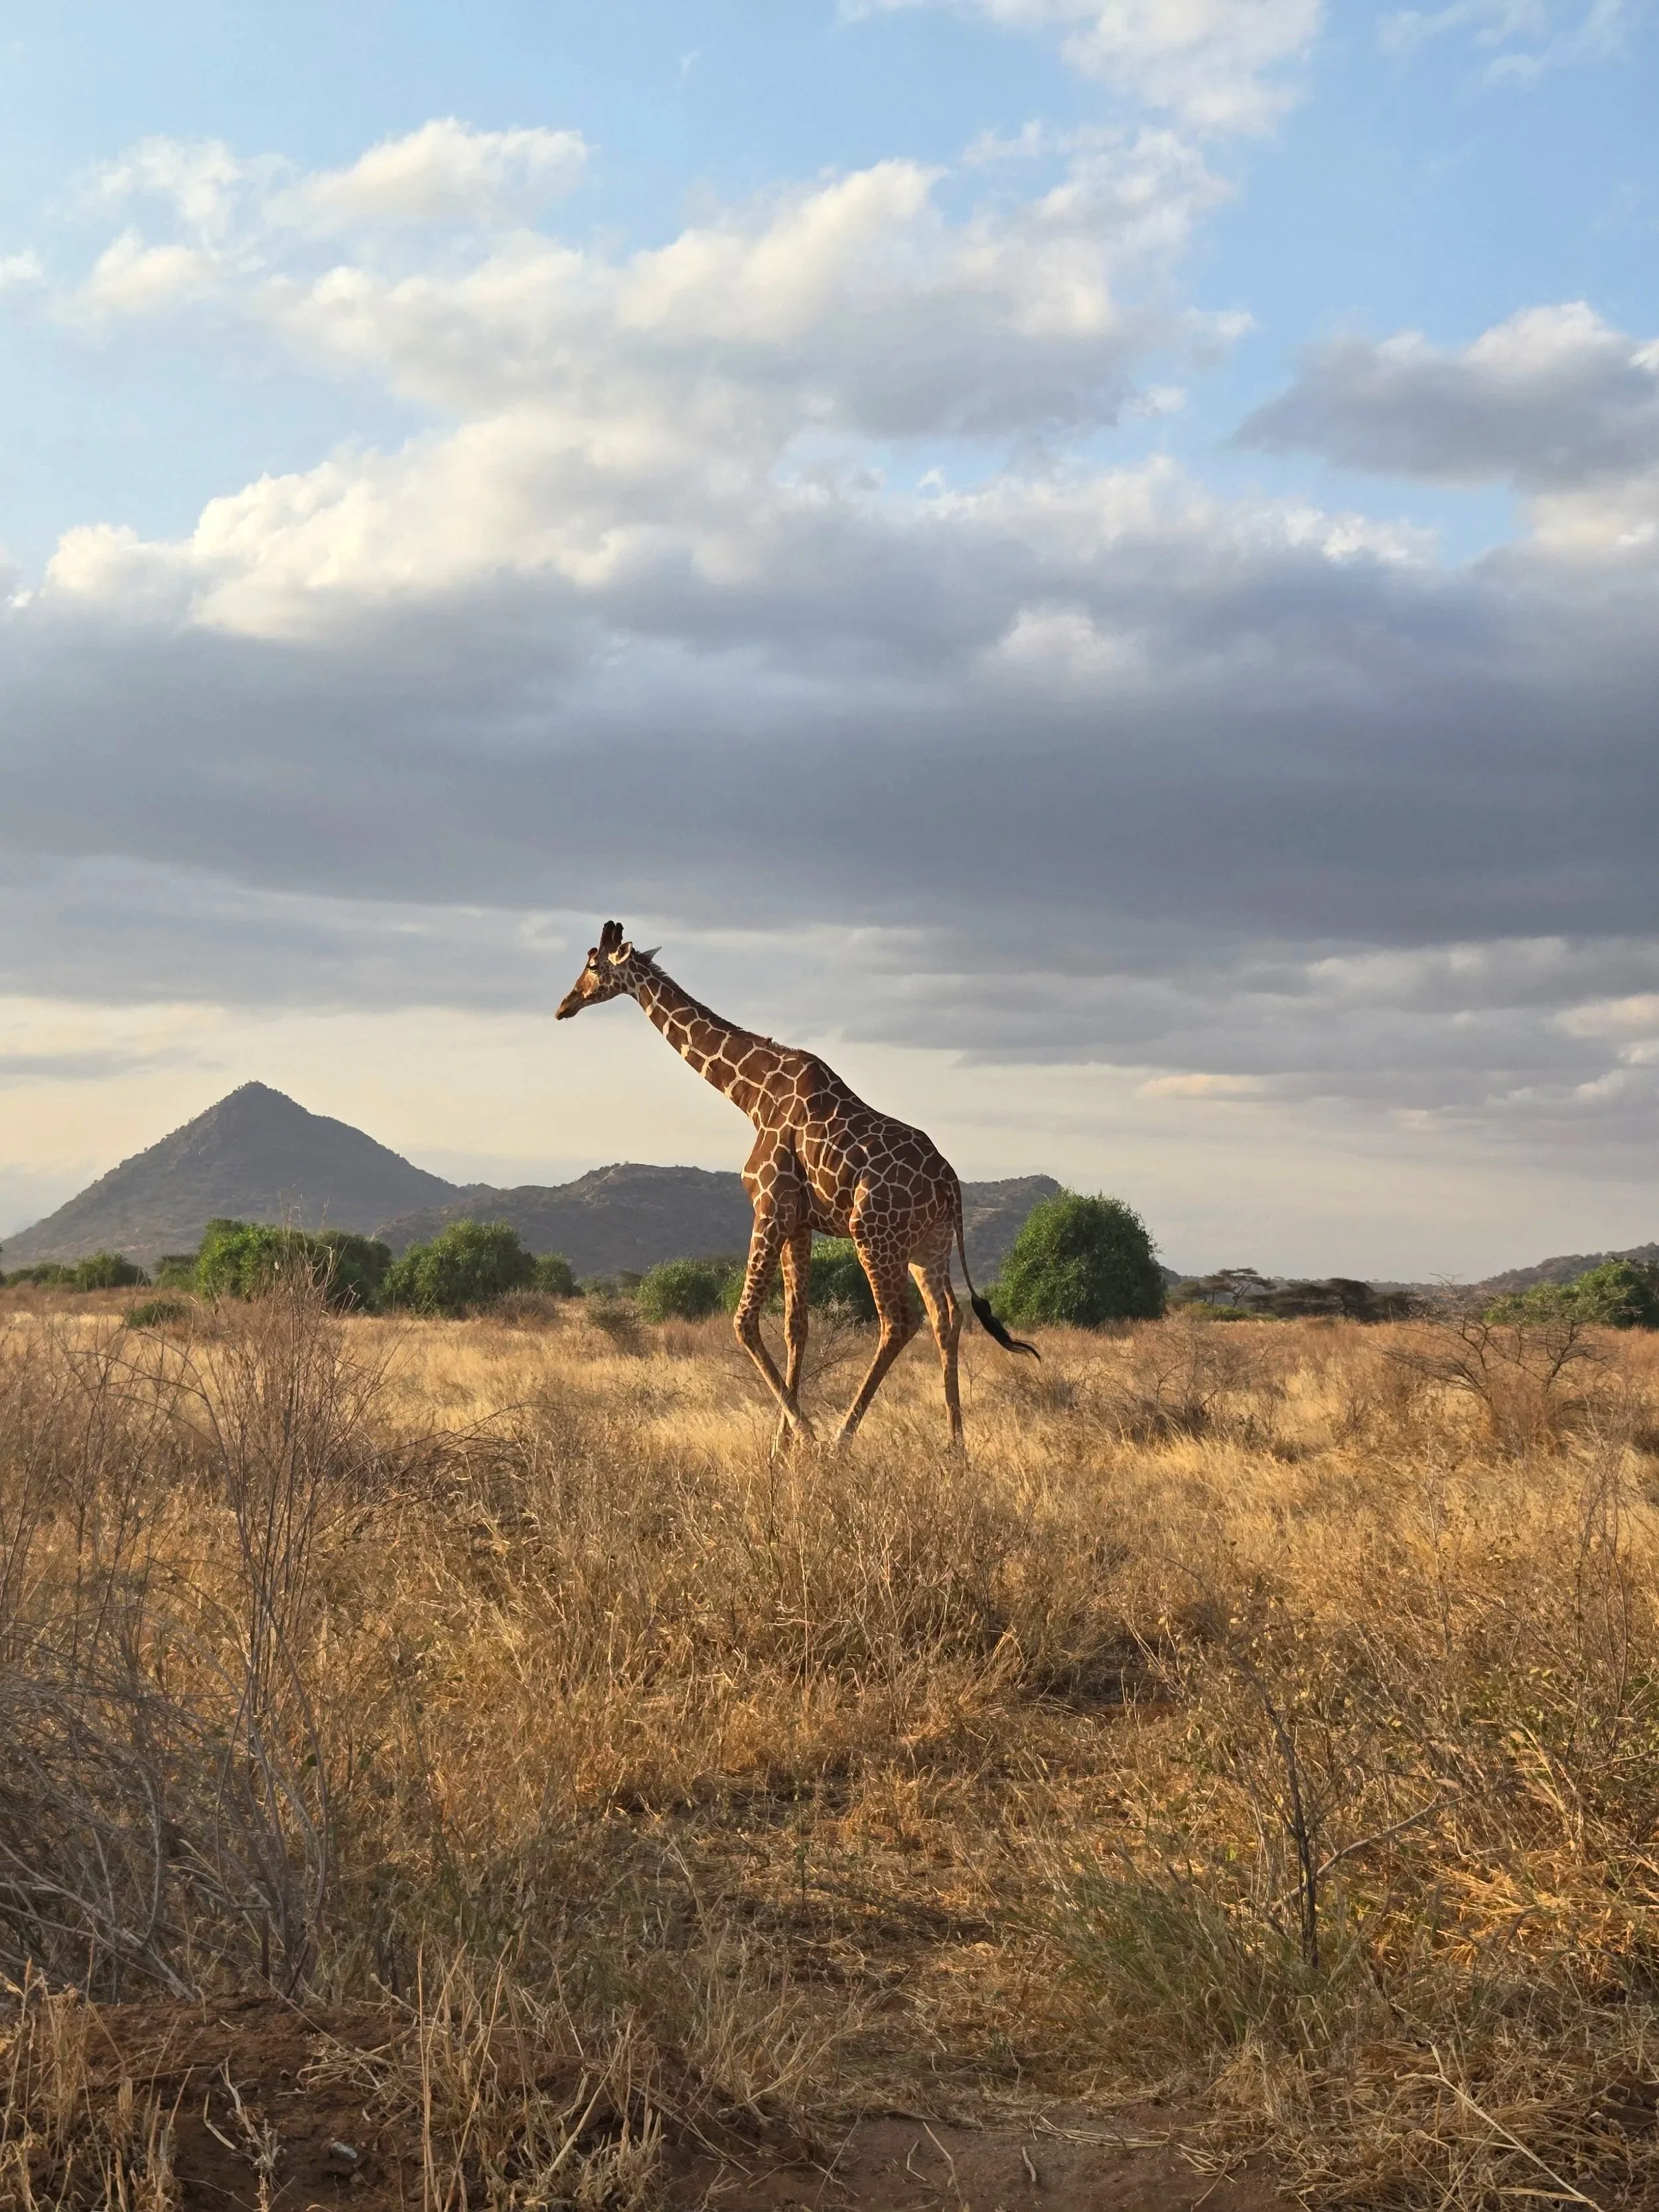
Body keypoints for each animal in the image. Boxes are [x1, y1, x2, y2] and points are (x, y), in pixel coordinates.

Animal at [556, 922, 1037, 1446]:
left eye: (594, 964)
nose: (565, 1005)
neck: (751, 1094)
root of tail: (951, 1185)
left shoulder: (770, 1207)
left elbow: (745, 1322)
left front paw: (804, 1436)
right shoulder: (801, 1222)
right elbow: (796, 1326)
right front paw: (780, 1446)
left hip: (875, 1234)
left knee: (898, 1321)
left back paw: (843, 1438)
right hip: (928, 1246)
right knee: (946, 1317)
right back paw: (955, 1447)